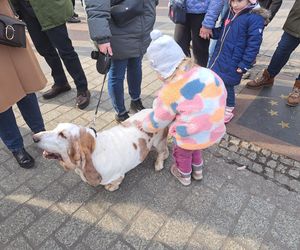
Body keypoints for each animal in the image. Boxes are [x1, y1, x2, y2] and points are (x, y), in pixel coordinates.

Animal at [33, 109, 169, 191]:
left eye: (62, 135)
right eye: (56, 127)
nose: (34, 137)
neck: (95, 150)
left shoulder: (118, 175)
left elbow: (116, 182)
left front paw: (110, 187)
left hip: (158, 143)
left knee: (164, 152)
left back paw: (158, 164)